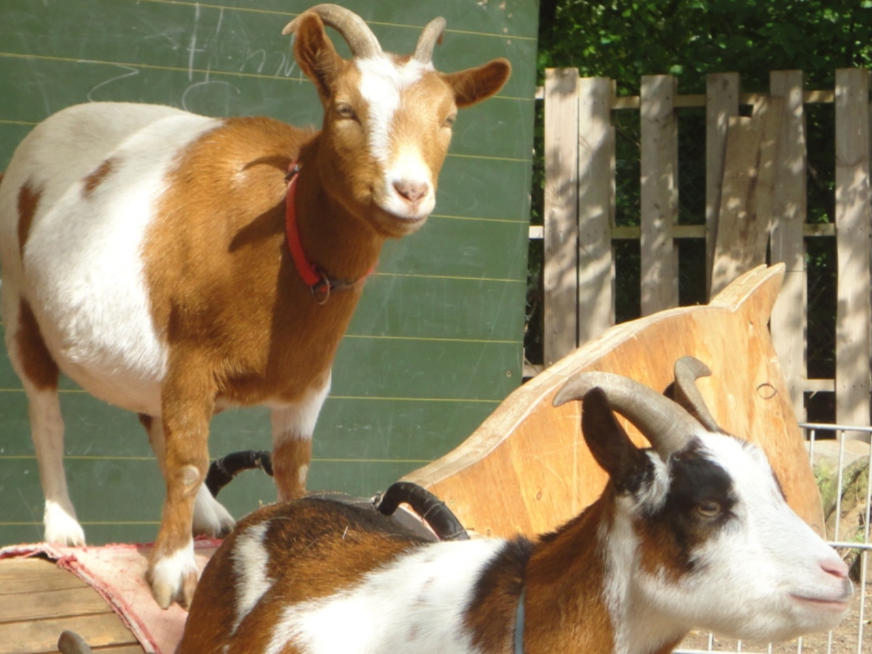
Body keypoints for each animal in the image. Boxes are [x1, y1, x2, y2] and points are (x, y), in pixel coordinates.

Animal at [0, 2, 510, 612]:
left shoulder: (307, 383)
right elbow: (189, 461)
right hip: (19, 299)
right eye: (345, 109)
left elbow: (290, 471)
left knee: (152, 421)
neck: (281, 237)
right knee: (46, 416)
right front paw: (171, 574)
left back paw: (210, 515)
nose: (409, 191)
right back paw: (63, 527)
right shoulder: (190, 363)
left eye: (449, 118)